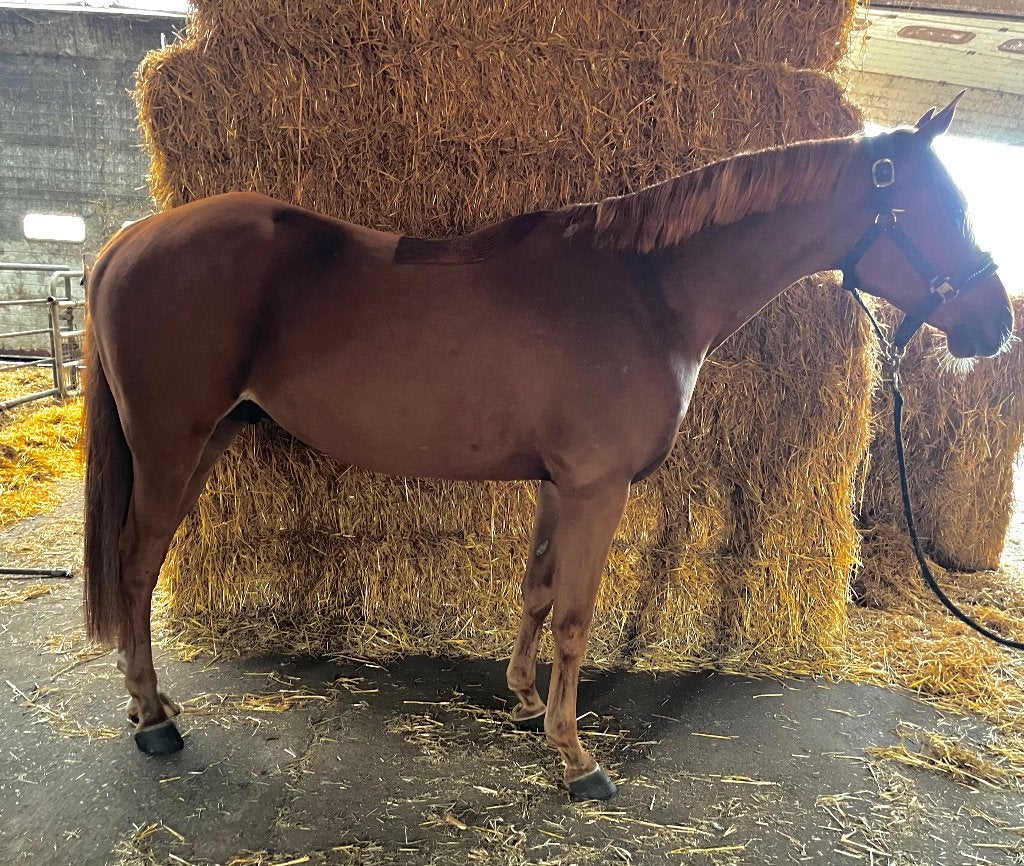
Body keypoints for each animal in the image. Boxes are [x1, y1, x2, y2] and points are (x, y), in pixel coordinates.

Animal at [83, 95, 1012, 801]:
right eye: (947, 209)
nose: (995, 325)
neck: (647, 292)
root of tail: (131, 238)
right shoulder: (600, 486)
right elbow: (575, 615)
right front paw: (576, 757)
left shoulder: (559, 483)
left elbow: (534, 592)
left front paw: (526, 705)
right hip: (171, 443)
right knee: (135, 564)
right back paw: (154, 720)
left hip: (209, 438)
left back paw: (150, 705)